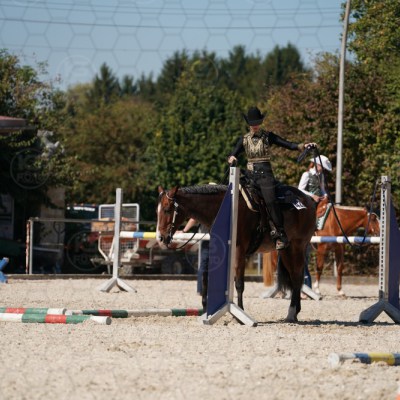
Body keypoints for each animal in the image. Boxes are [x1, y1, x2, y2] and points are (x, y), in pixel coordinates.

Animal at [157, 182, 317, 322]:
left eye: (167, 209)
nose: (161, 238)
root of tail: (308, 201)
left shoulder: (239, 251)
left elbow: (239, 283)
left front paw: (239, 312)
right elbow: (206, 276)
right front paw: (206, 309)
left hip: (296, 247)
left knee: (296, 277)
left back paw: (291, 313)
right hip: (285, 251)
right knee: (296, 277)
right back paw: (295, 312)